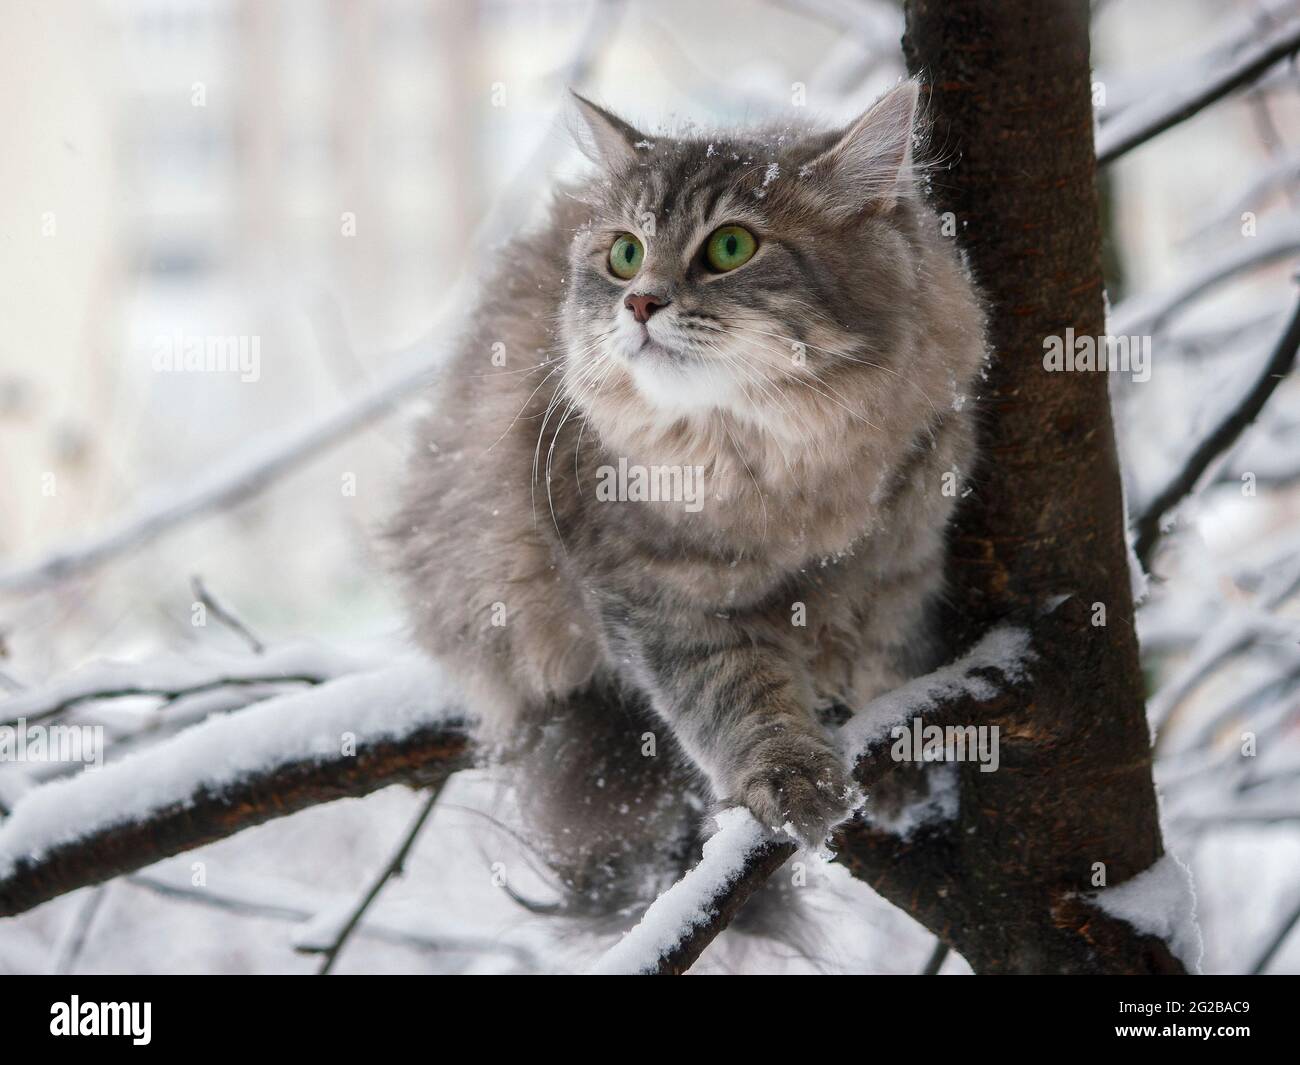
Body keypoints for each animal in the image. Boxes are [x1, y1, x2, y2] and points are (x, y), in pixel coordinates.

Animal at [384, 81, 982, 915]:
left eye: (730, 247)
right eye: (625, 253)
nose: (639, 303)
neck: (785, 467)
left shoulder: (901, 566)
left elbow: (887, 666)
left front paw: (901, 773)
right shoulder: (653, 597)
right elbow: (734, 696)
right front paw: (791, 778)